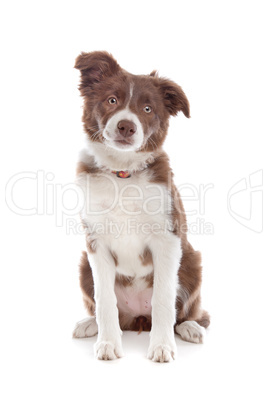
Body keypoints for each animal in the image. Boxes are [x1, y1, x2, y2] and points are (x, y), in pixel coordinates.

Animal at [73, 50, 209, 362]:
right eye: (112, 100)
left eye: (147, 109)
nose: (127, 126)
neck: (123, 175)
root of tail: (137, 318)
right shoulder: (95, 243)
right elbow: (104, 299)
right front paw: (108, 343)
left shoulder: (168, 238)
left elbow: (163, 298)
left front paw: (162, 346)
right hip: (84, 265)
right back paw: (90, 325)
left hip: (192, 262)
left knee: (186, 313)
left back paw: (190, 327)